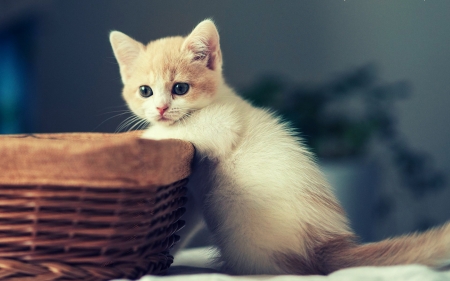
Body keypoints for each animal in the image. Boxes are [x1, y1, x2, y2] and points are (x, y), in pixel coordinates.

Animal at [109, 19, 450, 274]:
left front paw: (139, 139)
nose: (161, 109)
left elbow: (181, 130)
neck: (218, 100)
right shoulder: (191, 192)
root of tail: (327, 245)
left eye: (180, 88)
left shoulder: (222, 124)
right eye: (145, 91)